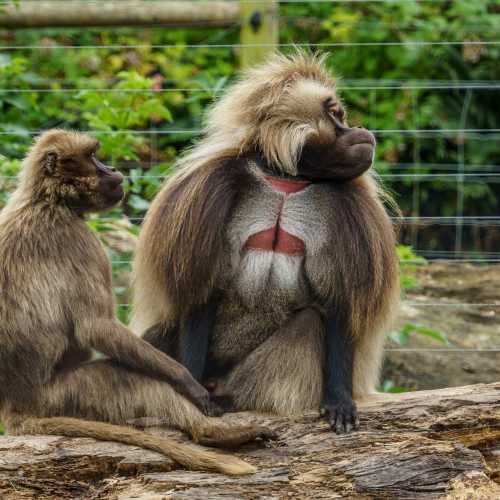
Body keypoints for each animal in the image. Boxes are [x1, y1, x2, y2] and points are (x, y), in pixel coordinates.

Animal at [0, 130, 274, 476]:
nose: (112, 169)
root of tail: (13, 405)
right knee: (132, 379)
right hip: (60, 396)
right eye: (93, 157)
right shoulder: (80, 239)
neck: (47, 200)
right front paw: (188, 382)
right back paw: (214, 434)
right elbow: (95, 328)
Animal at [132, 51, 398, 434]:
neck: (288, 178)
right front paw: (190, 395)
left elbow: (338, 303)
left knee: (308, 324)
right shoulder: (208, 191)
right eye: (334, 113)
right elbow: (202, 294)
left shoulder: (349, 211)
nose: (362, 133)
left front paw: (339, 399)